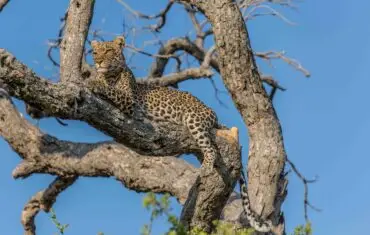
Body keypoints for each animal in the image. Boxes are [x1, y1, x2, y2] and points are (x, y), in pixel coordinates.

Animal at [88, 36, 274, 233]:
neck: (109, 75)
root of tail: (212, 113)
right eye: (95, 52)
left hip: (194, 119)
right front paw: (94, 79)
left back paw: (206, 168)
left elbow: (112, 90)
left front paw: (92, 83)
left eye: (108, 51)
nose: (98, 61)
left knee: (210, 148)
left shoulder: (129, 102)